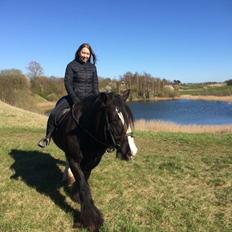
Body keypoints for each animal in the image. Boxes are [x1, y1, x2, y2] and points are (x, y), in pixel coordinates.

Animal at [51, 90, 137, 232]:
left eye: (128, 119)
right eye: (114, 120)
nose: (132, 152)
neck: (84, 133)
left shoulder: (92, 161)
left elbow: (84, 179)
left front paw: (75, 195)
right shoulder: (74, 160)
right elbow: (83, 184)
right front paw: (91, 220)